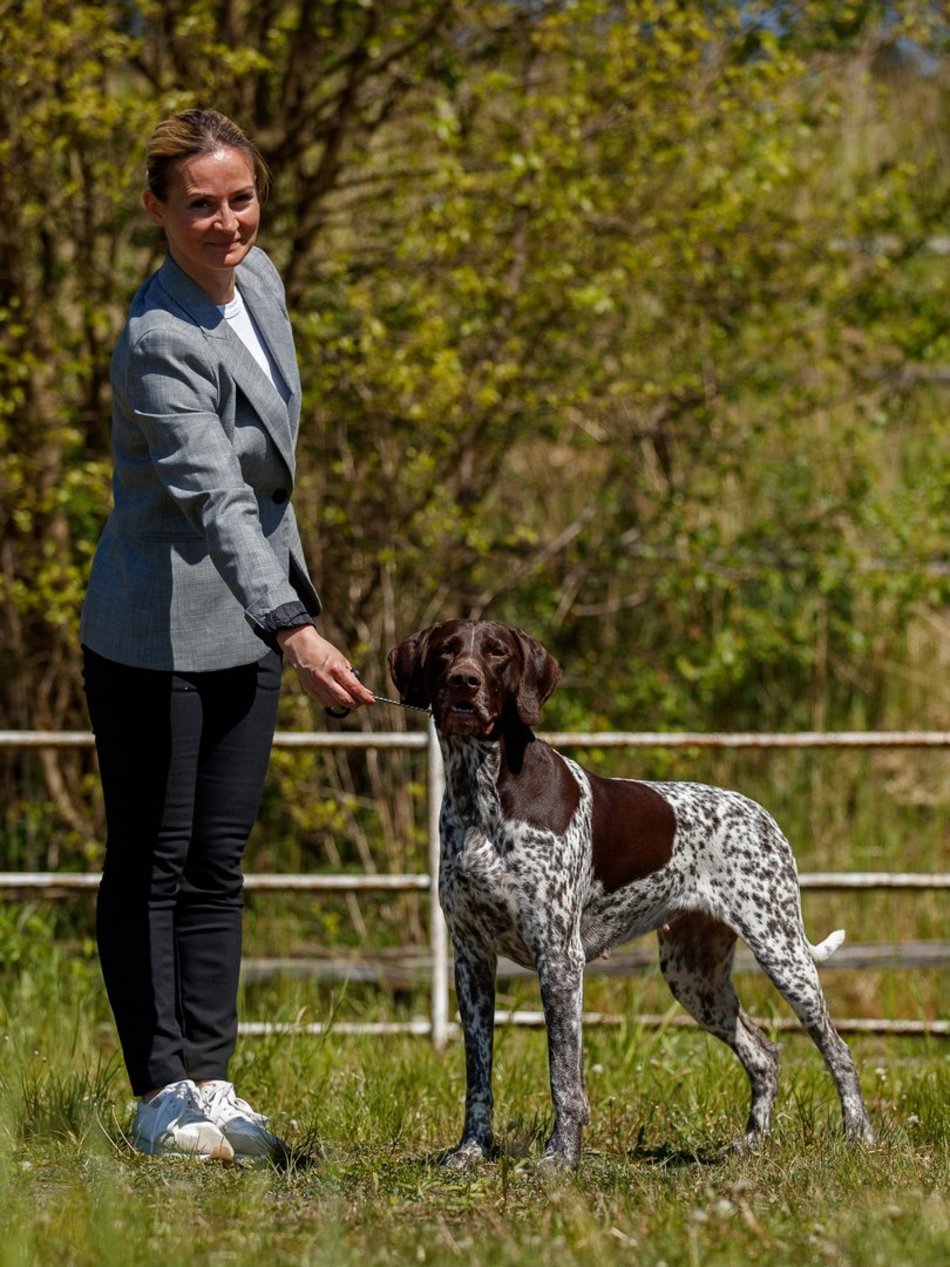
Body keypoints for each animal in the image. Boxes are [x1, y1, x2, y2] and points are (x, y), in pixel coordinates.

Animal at [387, 618, 876, 1160]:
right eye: (446, 650)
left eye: (496, 653)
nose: (464, 681)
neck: (481, 792)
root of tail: (763, 815)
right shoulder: (472, 960)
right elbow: (479, 1075)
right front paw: (471, 1151)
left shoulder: (559, 959)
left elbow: (564, 1077)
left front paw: (561, 1158)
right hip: (693, 977)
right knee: (764, 1053)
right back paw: (751, 1141)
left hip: (782, 953)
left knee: (838, 1049)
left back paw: (859, 1135)